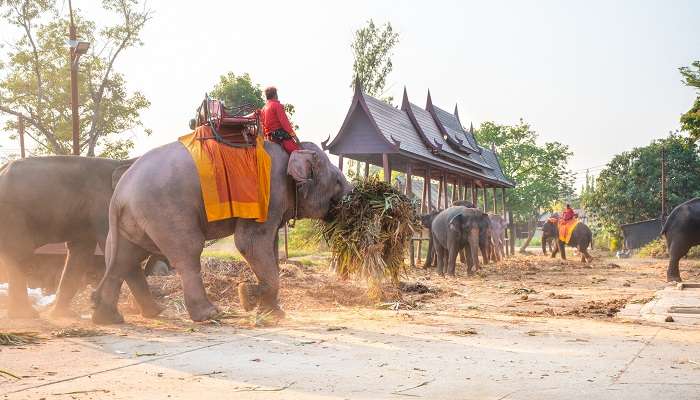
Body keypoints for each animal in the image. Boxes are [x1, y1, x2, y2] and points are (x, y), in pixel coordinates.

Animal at [0, 155, 141, 318]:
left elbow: (80, 253)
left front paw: (61, 314)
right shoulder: (104, 205)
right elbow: (119, 251)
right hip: (12, 215)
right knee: (20, 254)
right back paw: (26, 315)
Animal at [90, 139, 350, 324]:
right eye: (337, 181)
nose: (353, 198)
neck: (291, 147)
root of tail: (120, 193)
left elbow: (269, 246)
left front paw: (273, 313)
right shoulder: (268, 191)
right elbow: (249, 242)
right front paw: (246, 296)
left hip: (133, 220)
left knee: (124, 259)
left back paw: (112, 318)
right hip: (164, 210)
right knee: (187, 252)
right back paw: (211, 315)